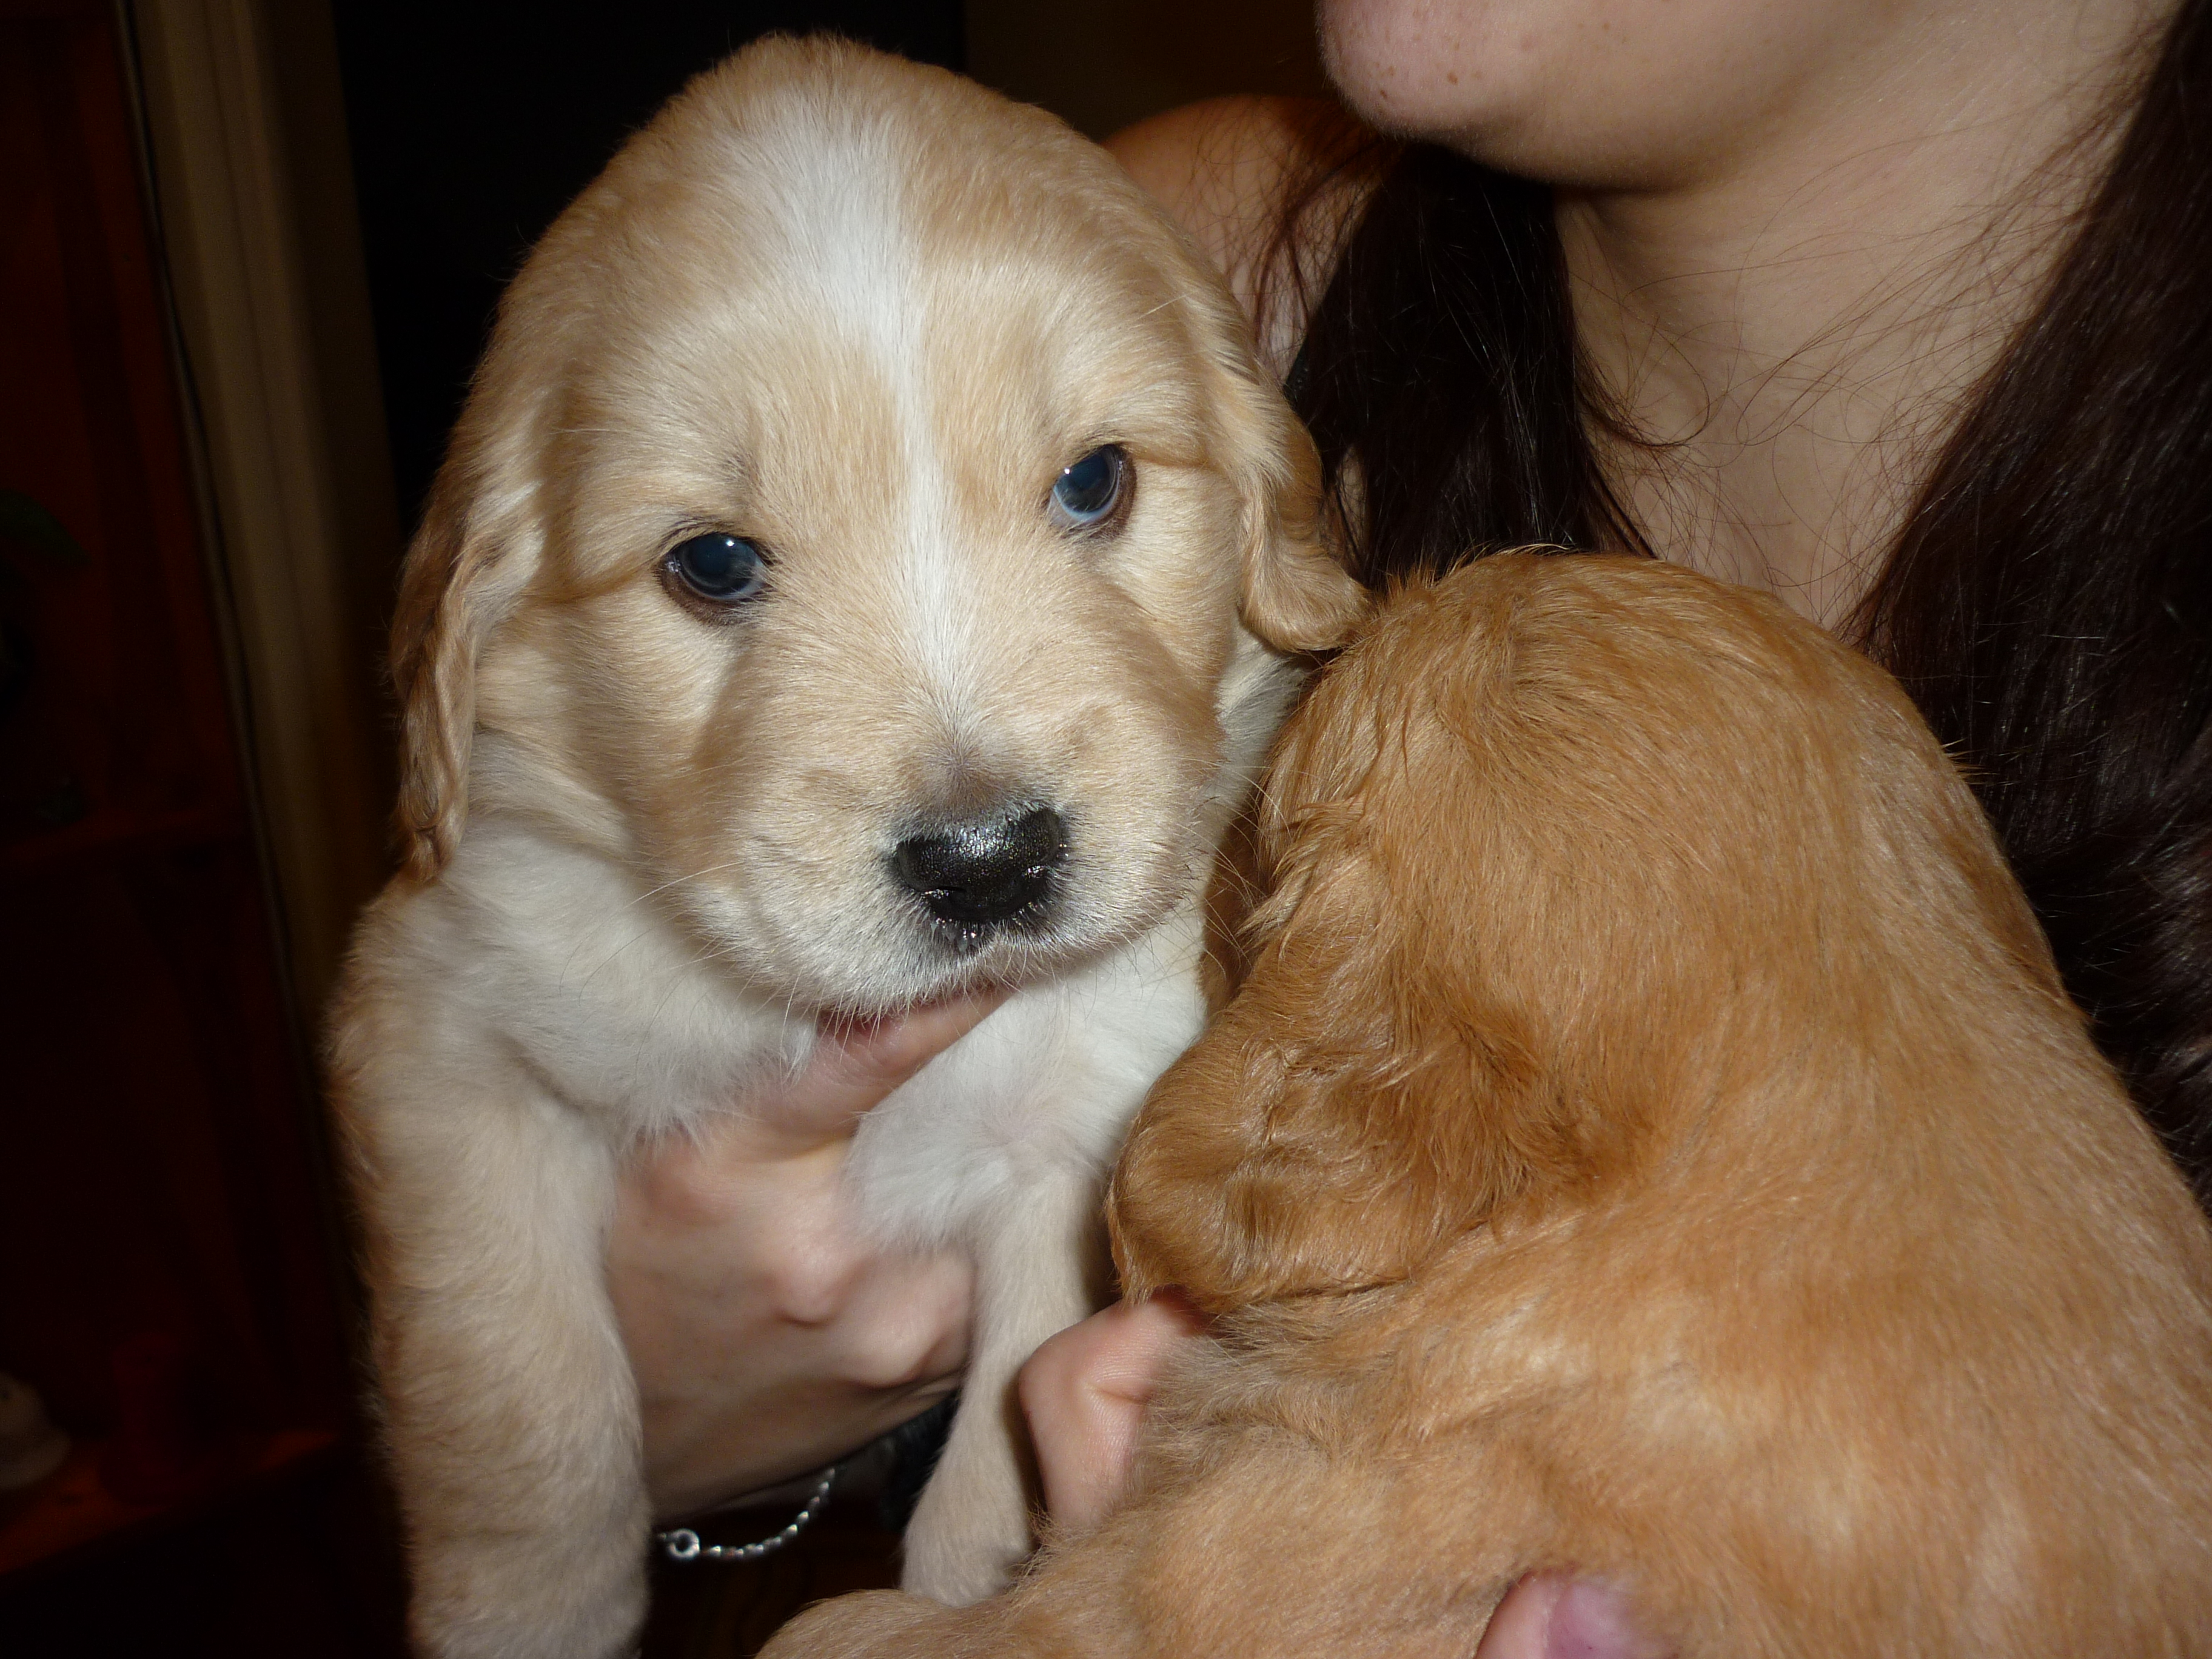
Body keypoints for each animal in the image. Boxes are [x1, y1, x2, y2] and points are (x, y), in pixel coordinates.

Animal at [327, 39, 1362, 1659]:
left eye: (1096, 482)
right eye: (712, 563)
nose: (988, 861)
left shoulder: (1088, 1137)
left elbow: (997, 1476)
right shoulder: (446, 1035)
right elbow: (514, 1399)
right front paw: (525, 1611)